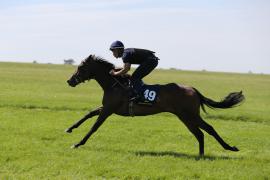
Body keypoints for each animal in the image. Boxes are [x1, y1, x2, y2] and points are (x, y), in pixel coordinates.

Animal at [66, 53, 245, 156]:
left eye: (81, 68)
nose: (70, 81)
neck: (115, 84)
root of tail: (193, 89)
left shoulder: (109, 110)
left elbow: (94, 127)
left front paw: (78, 143)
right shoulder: (107, 107)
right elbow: (88, 114)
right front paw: (70, 128)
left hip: (188, 115)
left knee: (206, 130)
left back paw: (223, 149)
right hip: (187, 116)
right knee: (202, 132)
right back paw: (205, 153)